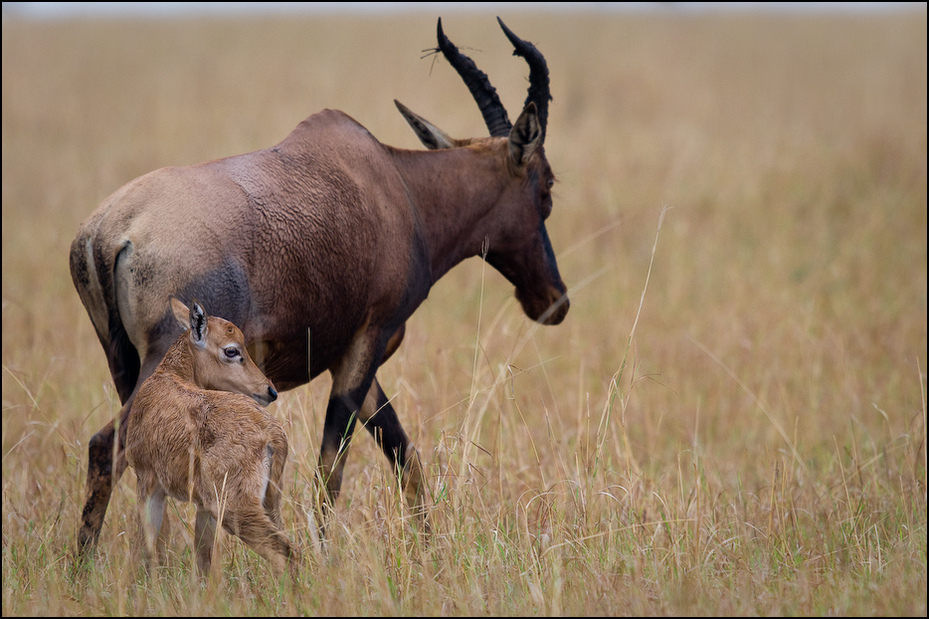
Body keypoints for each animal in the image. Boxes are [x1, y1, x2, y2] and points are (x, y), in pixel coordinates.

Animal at [129, 300, 296, 576]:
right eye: (231, 350)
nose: (269, 391)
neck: (169, 377)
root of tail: (272, 433)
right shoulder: (203, 506)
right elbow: (203, 558)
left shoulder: (148, 483)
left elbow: (151, 547)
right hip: (270, 501)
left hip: (235, 508)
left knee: (286, 552)